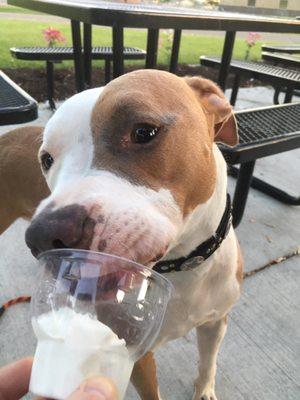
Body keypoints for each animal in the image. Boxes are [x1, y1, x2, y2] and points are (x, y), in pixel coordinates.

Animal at [1, 71, 243, 400]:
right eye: (47, 159)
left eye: (143, 131)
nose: (45, 234)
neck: (184, 266)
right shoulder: (134, 353)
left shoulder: (215, 322)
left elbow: (208, 362)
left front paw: (204, 390)